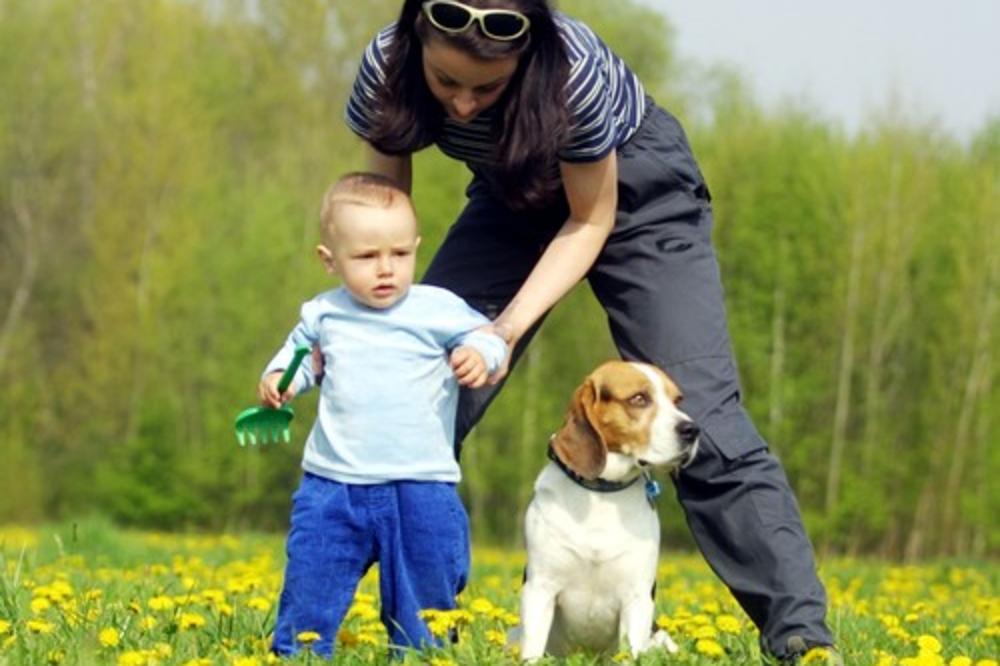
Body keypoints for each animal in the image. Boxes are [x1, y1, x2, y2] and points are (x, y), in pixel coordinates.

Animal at [520, 360, 700, 656]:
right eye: (639, 398)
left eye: (677, 401)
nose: (693, 430)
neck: (602, 493)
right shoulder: (540, 589)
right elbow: (532, 650)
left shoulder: (637, 597)